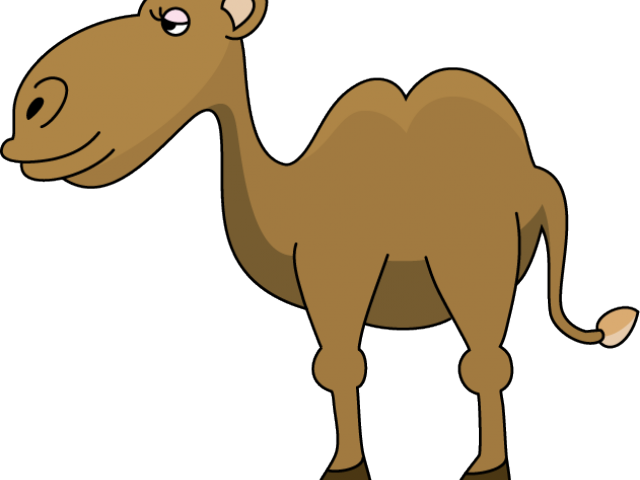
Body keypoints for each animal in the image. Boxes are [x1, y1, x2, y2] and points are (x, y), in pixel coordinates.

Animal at [1, 1, 637, 478]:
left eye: (175, 20)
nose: (35, 106)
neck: (294, 198)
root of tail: (536, 176)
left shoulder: (340, 263)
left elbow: (341, 364)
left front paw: (345, 469)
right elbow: (337, 366)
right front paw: (347, 465)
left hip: (478, 247)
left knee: (485, 354)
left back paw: (487, 469)